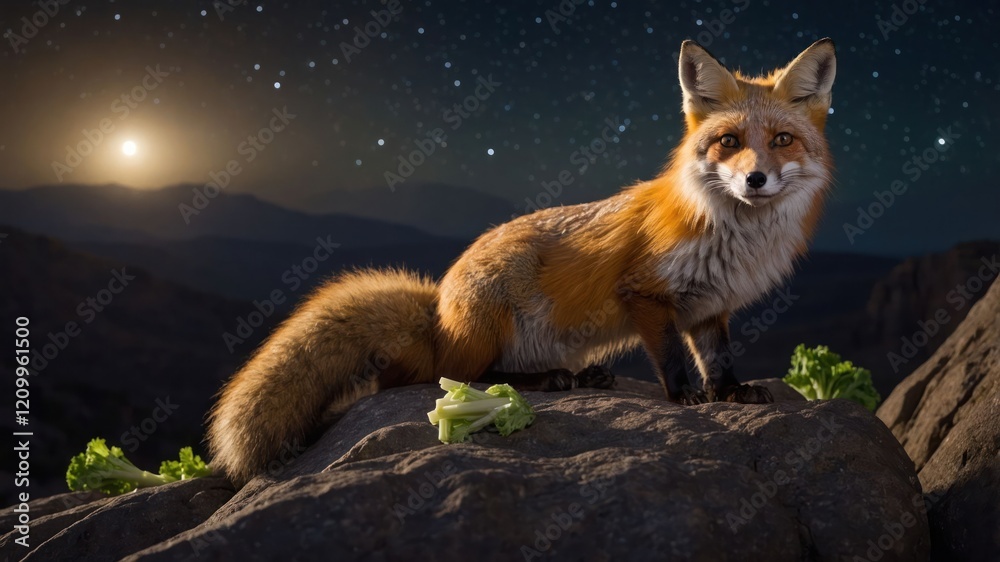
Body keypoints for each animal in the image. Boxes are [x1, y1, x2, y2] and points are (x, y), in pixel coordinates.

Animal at [208, 38, 837, 485]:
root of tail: (438, 312)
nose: (755, 180)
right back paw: (545, 381)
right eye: (729, 142)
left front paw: (731, 394)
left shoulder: (710, 308)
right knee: (463, 376)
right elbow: (673, 360)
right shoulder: (644, 294)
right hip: (489, 319)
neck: (734, 235)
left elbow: (718, 360)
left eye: (781, 140)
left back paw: (584, 375)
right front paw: (685, 399)